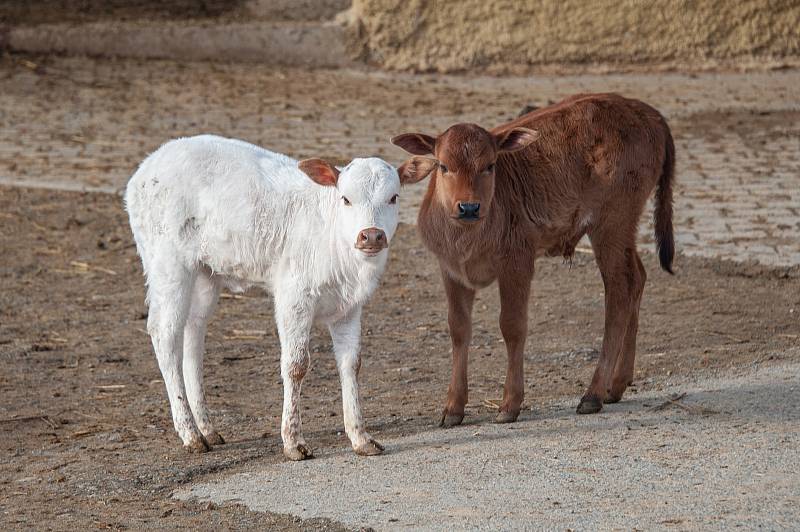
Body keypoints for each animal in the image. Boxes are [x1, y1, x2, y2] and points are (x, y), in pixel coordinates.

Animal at [126, 135, 406, 460]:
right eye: (346, 198)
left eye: (393, 198)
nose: (371, 235)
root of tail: (146, 168)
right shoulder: (293, 295)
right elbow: (296, 365)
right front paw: (293, 442)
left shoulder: (349, 307)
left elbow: (351, 363)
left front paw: (361, 437)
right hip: (167, 262)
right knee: (165, 333)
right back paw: (190, 433)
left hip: (205, 272)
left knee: (193, 332)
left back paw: (207, 427)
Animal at [394, 91, 676, 424]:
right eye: (443, 166)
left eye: (490, 165)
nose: (469, 207)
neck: (468, 236)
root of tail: (648, 112)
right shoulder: (450, 269)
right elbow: (459, 329)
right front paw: (453, 408)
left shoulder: (517, 263)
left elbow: (512, 326)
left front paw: (509, 404)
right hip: (623, 231)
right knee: (637, 277)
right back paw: (616, 384)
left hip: (612, 223)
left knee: (619, 293)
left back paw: (593, 393)